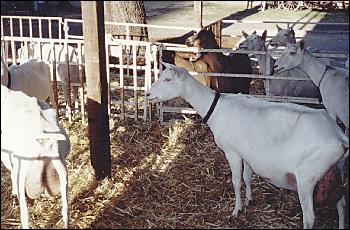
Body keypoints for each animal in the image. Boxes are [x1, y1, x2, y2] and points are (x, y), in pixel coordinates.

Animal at [146, 62, 348, 228]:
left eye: (168, 79)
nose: (147, 94)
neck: (216, 107)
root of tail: (338, 136)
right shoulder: (247, 154)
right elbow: (247, 176)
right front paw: (249, 199)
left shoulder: (232, 152)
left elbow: (236, 181)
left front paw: (236, 211)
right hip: (335, 171)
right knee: (341, 203)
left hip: (307, 178)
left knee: (310, 218)